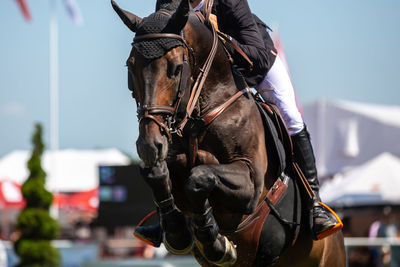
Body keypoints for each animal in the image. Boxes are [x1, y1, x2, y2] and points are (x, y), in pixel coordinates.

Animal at [111, 0, 346, 266]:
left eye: (177, 68)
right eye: (130, 67)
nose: (149, 145)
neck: (203, 110)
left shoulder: (251, 185)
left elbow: (200, 176)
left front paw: (216, 244)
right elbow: (155, 173)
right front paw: (178, 232)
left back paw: (320, 217)